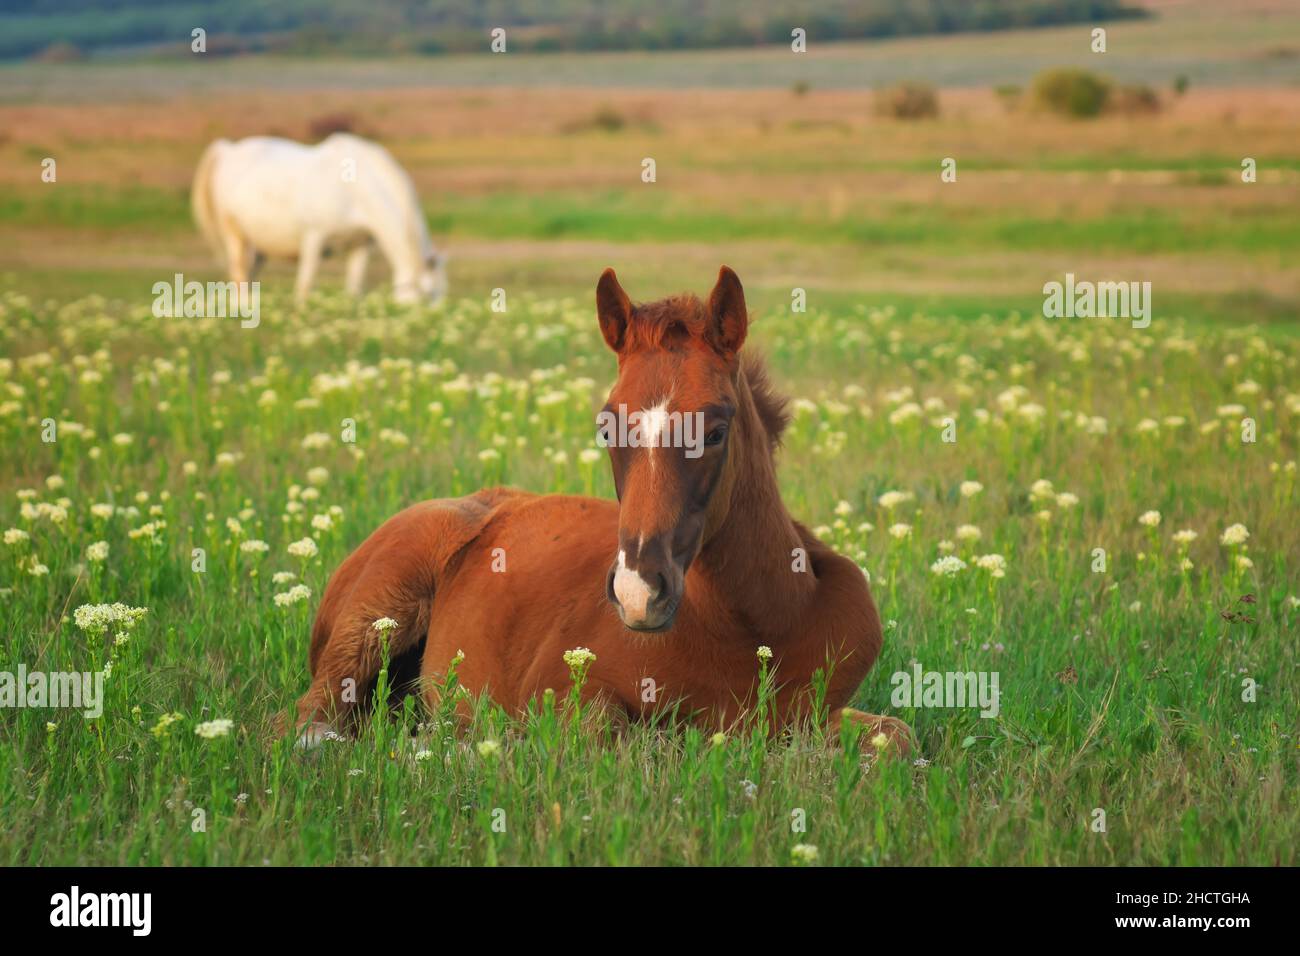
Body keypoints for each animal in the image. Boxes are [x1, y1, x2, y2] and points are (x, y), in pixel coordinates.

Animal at [191, 133, 447, 306]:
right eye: (428, 295)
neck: (355, 189)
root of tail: (228, 149)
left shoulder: (360, 245)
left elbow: (353, 289)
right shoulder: (314, 237)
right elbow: (305, 285)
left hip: (259, 243)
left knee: (248, 276)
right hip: (234, 233)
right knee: (238, 274)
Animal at [292, 266, 912, 755]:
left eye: (715, 429)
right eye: (606, 426)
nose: (639, 592)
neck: (754, 625)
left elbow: (897, 737)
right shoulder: (558, 691)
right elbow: (615, 736)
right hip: (376, 614)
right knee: (306, 721)